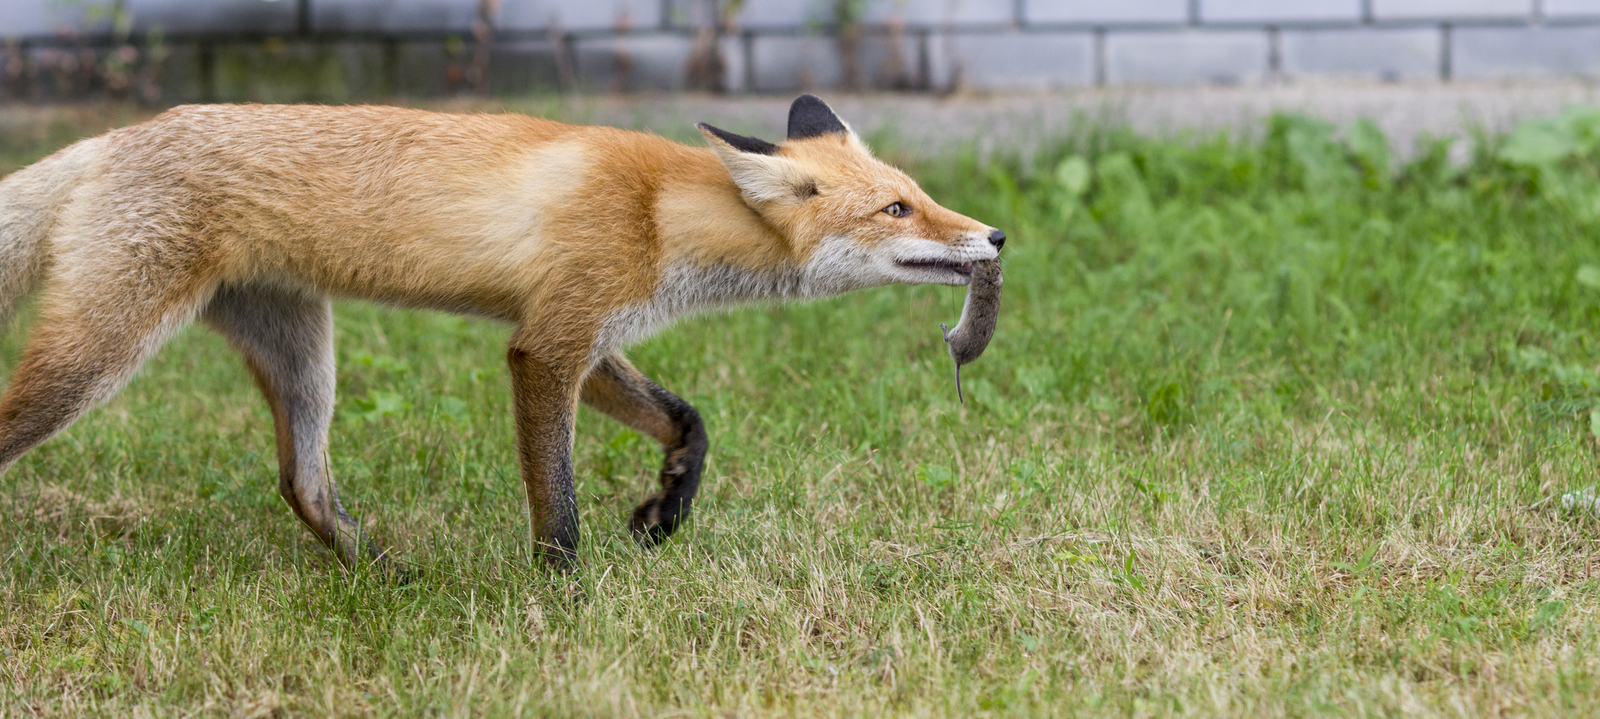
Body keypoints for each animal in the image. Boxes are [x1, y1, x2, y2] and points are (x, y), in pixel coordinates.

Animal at [0, 92, 998, 570]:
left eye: (920, 194)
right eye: (898, 208)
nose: (992, 239)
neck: (659, 213)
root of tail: (112, 139)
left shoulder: (582, 330)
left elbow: (690, 419)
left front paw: (666, 507)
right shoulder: (544, 347)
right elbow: (557, 506)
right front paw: (564, 598)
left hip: (302, 353)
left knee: (303, 483)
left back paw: (390, 579)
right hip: (98, 352)